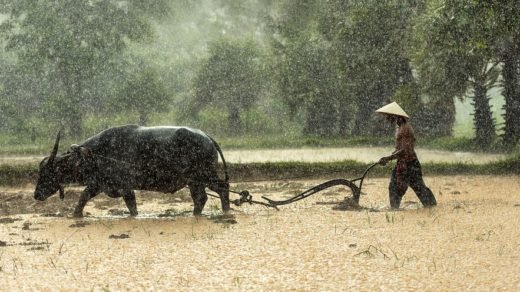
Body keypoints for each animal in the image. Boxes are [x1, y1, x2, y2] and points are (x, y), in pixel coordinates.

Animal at [34, 124, 230, 218]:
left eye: (47, 173)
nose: (36, 195)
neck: (97, 154)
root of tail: (207, 137)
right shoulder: (99, 184)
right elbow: (83, 197)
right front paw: (75, 215)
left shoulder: (125, 187)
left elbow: (132, 206)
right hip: (194, 181)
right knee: (201, 198)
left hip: (205, 175)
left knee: (222, 188)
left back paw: (226, 211)